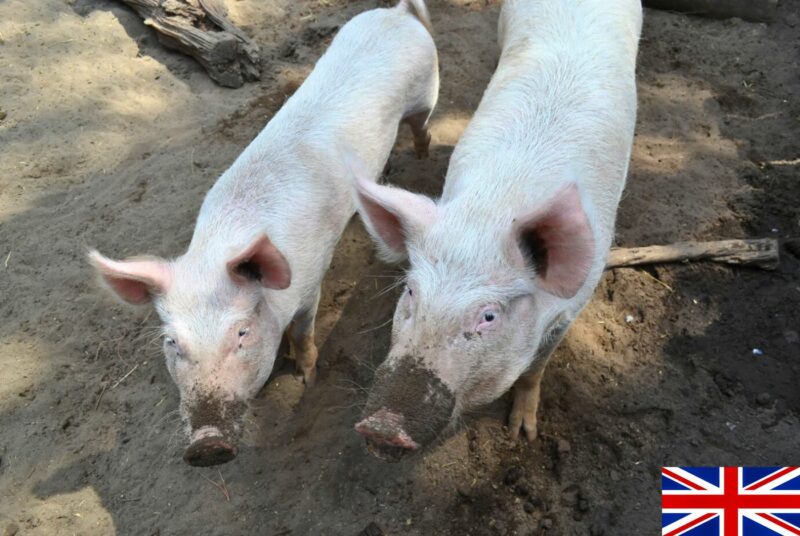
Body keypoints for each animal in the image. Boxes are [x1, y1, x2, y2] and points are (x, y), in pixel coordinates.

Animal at [88, 0, 438, 467]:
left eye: (241, 333)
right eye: (171, 342)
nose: (207, 444)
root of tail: (397, 14)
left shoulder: (310, 284)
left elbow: (304, 334)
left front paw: (307, 378)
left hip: (426, 94)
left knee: (423, 127)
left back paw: (420, 159)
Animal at [351, 0, 642, 461]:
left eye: (488, 315)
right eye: (411, 291)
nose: (381, 426)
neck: (490, 213)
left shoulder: (572, 307)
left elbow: (534, 370)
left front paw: (523, 433)